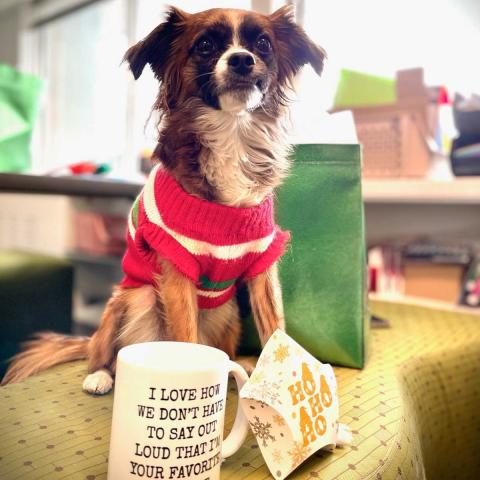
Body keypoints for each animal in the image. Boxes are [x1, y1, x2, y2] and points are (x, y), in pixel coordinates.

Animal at [1, 4, 324, 394]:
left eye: (262, 44)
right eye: (204, 45)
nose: (242, 60)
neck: (230, 133)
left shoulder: (262, 263)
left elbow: (275, 327)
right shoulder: (176, 267)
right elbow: (184, 336)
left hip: (227, 311)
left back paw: (239, 366)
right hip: (132, 296)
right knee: (105, 352)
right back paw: (99, 375)